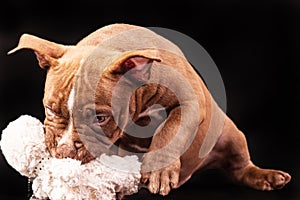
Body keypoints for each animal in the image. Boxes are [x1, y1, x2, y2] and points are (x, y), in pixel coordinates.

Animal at [8, 23, 290, 197]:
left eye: (101, 118)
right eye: (49, 109)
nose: (65, 150)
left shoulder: (190, 102)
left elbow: (171, 130)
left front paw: (159, 172)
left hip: (231, 135)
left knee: (239, 168)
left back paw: (267, 177)